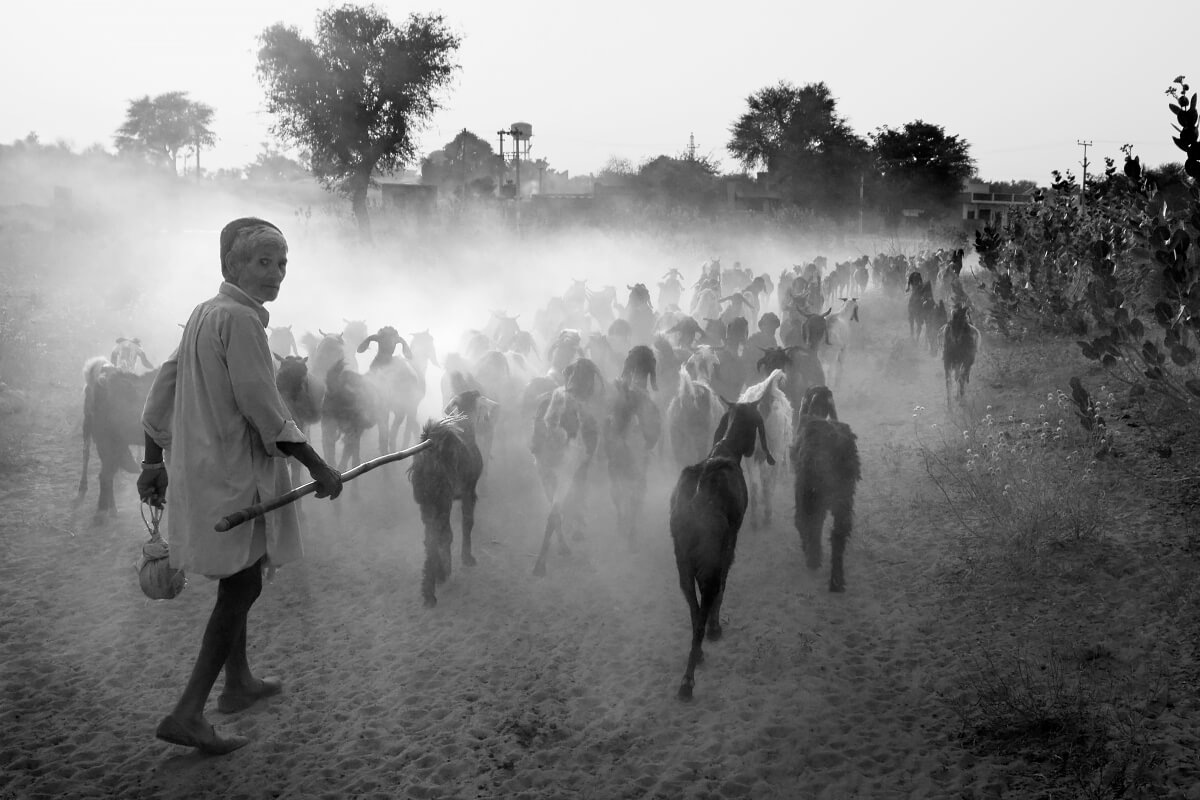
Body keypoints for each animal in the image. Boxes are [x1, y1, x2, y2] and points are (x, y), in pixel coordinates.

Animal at [405, 393, 494, 606]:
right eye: (481, 398)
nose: (496, 407)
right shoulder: (469, 492)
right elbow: (467, 524)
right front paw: (467, 558)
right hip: (442, 501)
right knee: (443, 536)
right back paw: (440, 577)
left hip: (428, 504)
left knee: (430, 540)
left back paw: (430, 584)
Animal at [532, 357, 604, 575]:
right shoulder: (582, 466)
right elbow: (578, 496)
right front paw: (578, 528)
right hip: (564, 472)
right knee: (554, 514)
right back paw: (540, 565)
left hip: (544, 472)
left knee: (554, 514)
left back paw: (561, 548)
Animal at [672, 400, 772, 700]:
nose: (753, 451)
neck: (725, 449)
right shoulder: (730, 540)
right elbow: (725, 584)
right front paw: (716, 628)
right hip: (710, 559)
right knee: (709, 597)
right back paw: (688, 680)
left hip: (683, 562)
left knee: (695, 610)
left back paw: (696, 657)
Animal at [787, 388, 864, 594]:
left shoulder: (803, 493)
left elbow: (802, 523)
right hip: (843, 499)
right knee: (838, 534)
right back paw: (836, 581)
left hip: (811, 495)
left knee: (810, 524)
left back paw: (813, 560)